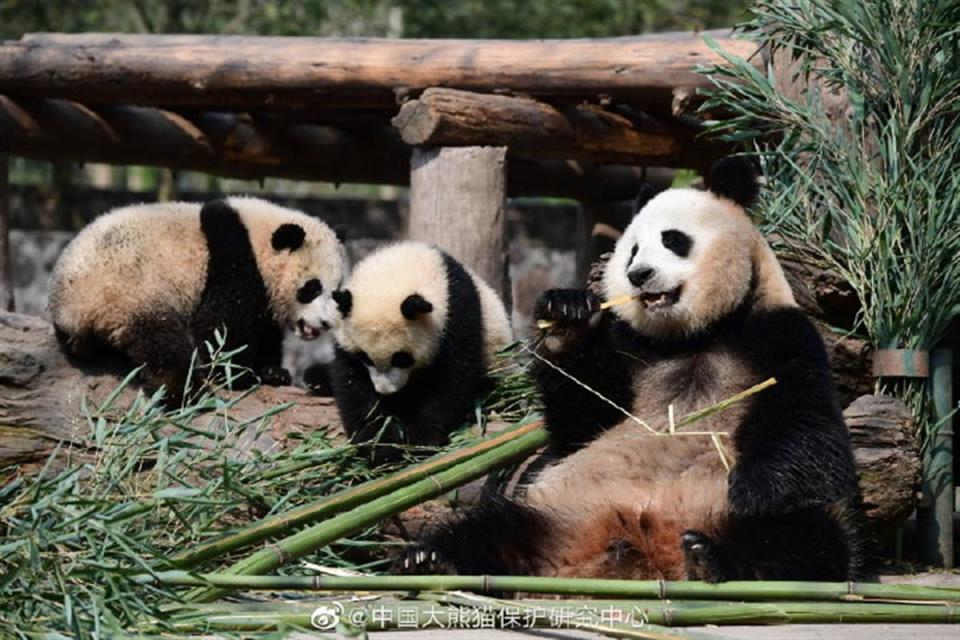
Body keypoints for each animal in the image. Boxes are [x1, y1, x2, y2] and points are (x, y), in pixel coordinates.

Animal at [48, 198, 346, 402]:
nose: (324, 323)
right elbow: (222, 324)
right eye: (312, 288)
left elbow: (264, 331)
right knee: (160, 339)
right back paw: (183, 389)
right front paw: (237, 375)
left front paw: (272, 371)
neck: (257, 238)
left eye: (336, 291)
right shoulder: (233, 258)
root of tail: (69, 309)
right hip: (130, 289)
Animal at [326, 242, 512, 462]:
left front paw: (422, 439)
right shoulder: (344, 335)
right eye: (365, 357)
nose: (386, 391)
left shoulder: (457, 312)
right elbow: (353, 385)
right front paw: (381, 445)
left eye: (401, 359)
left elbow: (453, 377)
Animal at [404, 159, 864, 580]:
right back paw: (431, 559)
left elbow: (808, 425)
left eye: (673, 239)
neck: (693, 335)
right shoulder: (629, 343)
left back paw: (709, 558)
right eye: (633, 249)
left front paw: (750, 488)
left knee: (803, 540)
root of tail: (641, 543)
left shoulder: (777, 332)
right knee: (492, 529)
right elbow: (585, 418)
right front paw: (566, 316)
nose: (639, 275)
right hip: (560, 509)